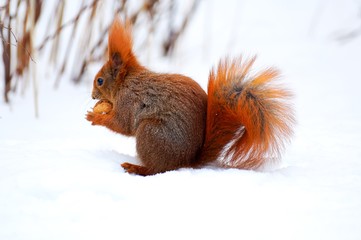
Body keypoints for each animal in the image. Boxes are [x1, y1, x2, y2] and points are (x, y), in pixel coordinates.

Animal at [86, 18, 294, 176]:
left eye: (100, 81)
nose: (93, 96)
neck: (126, 82)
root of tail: (187, 161)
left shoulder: (129, 101)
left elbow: (122, 124)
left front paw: (95, 117)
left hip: (150, 133)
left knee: (157, 169)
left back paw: (136, 167)